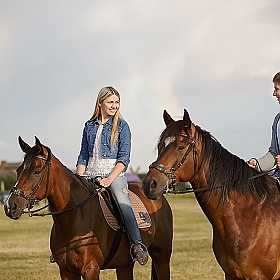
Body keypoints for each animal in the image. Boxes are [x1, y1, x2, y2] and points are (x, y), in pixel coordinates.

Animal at [4, 137, 173, 280]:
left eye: (36, 171)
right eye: (18, 170)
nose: (10, 206)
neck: (75, 218)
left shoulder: (90, 270)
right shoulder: (66, 272)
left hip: (161, 257)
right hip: (124, 265)